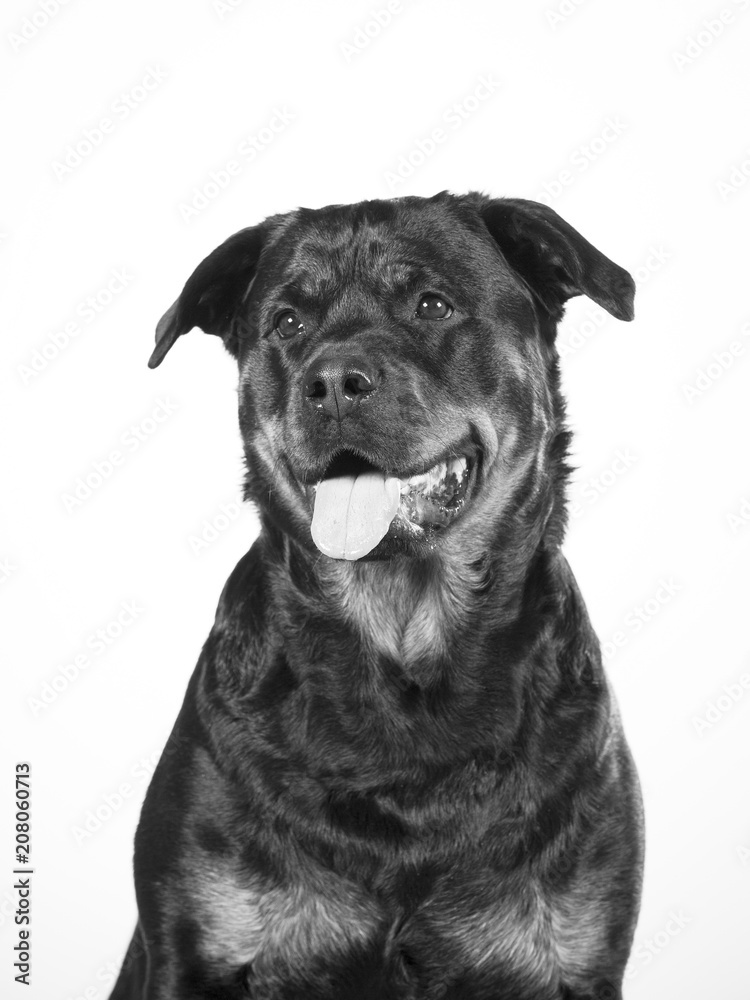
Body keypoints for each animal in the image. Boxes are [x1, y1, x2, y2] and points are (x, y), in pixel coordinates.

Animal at [111, 191, 648, 996]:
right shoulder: (193, 952)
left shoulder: (577, 958)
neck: (402, 650)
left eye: (432, 304)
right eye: (288, 323)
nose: (333, 381)